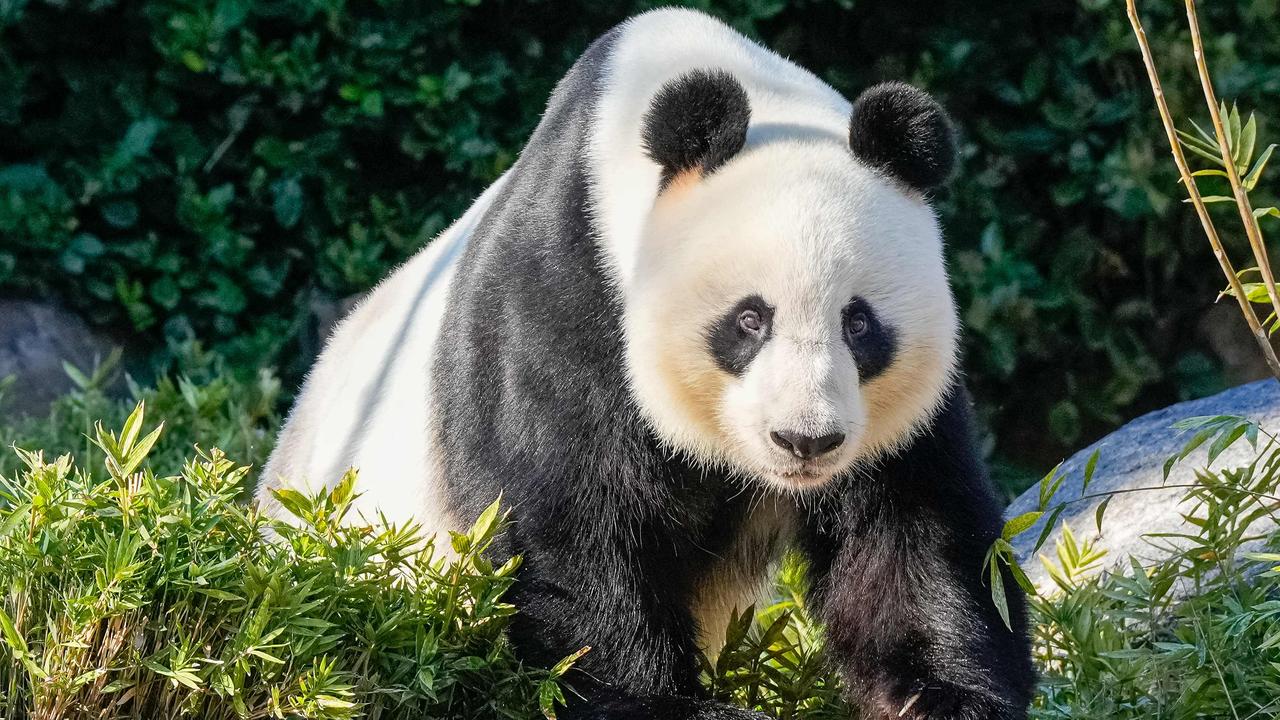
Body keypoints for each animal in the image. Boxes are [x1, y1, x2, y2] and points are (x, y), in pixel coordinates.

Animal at [257, 7, 1029, 717]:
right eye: (750, 320)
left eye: (859, 323)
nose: (805, 441)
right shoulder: (566, 294)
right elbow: (568, 533)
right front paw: (661, 701)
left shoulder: (896, 417)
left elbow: (913, 533)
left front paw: (940, 698)